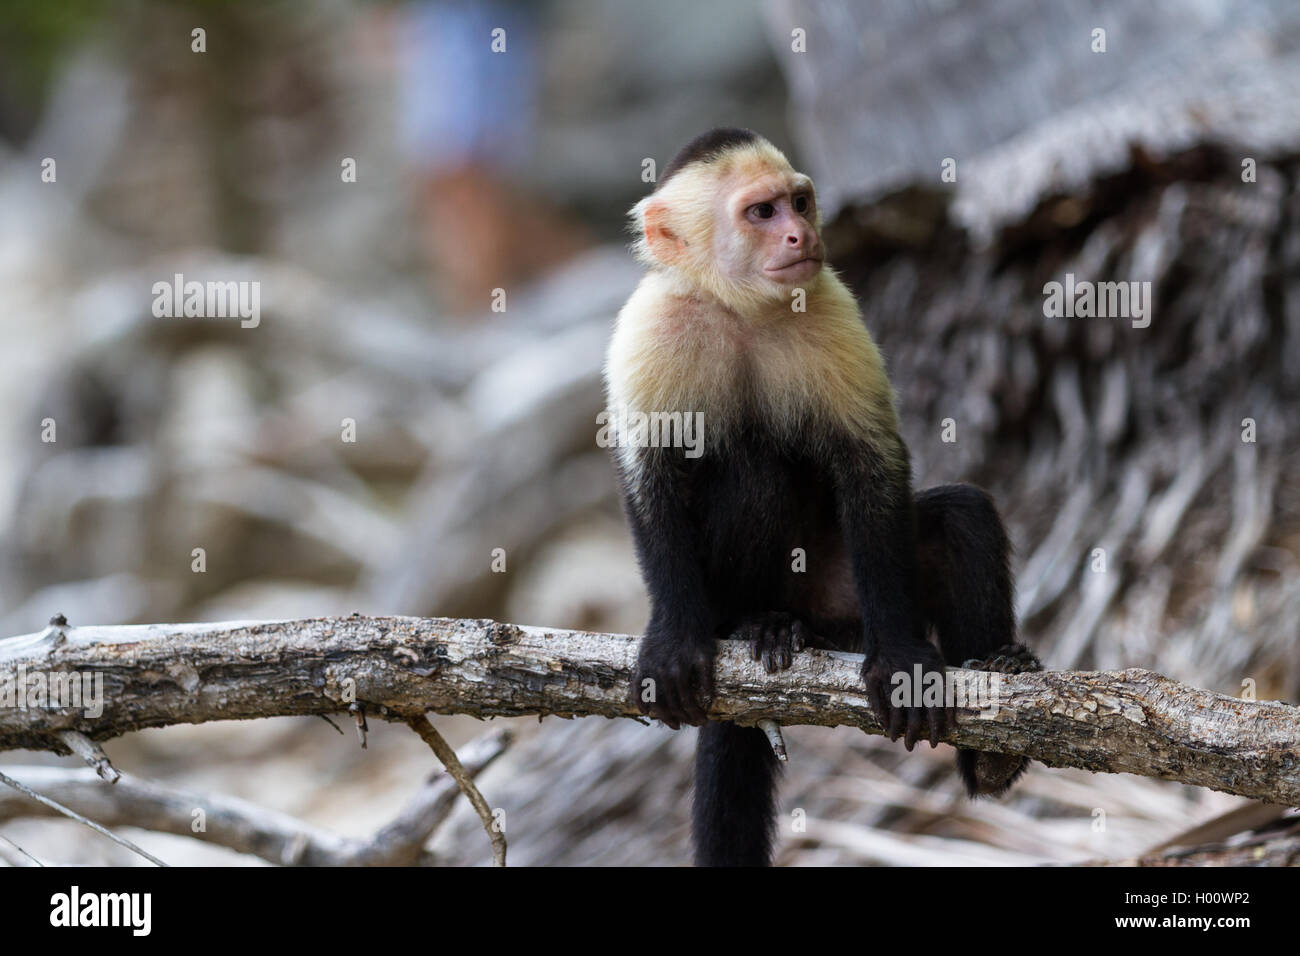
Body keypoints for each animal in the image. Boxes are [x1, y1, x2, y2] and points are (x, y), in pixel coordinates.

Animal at [603, 128, 1040, 867]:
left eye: (799, 203)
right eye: (761, 213)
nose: (800, 235)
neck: (741, 309)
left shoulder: (832, 307)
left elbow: (872, 465)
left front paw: (903, 661)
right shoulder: (651, 326)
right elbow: (650, 478)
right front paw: (673, 638)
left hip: (842, 593)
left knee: (960, 517)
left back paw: (992, 730)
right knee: (751, 471)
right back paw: (757, 623)